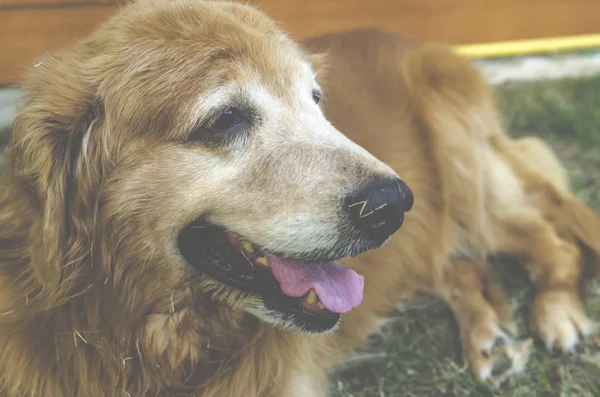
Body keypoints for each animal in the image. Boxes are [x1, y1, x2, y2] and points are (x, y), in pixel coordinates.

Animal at [1, 0, 600, 394]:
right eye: (225, 119)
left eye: (315, 100)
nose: (394, 204)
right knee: (456, 264)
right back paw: (488, 337)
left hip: (466, 173)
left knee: (551, 241)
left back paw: (557, 314)